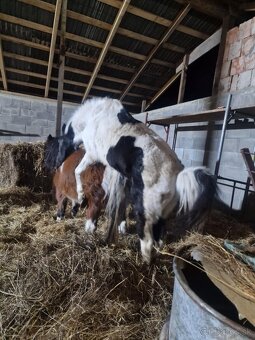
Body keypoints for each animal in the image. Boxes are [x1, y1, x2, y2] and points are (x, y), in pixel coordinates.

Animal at [53, 97, 217, 264]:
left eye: (58, 145)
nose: (57, 165)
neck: (94, 117)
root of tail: (177, 176)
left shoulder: (92, 155)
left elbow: (78, 171)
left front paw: (80, 196)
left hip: (145, 212)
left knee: (148, 240)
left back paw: (144, 261)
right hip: (161, 213)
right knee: (159, 238)